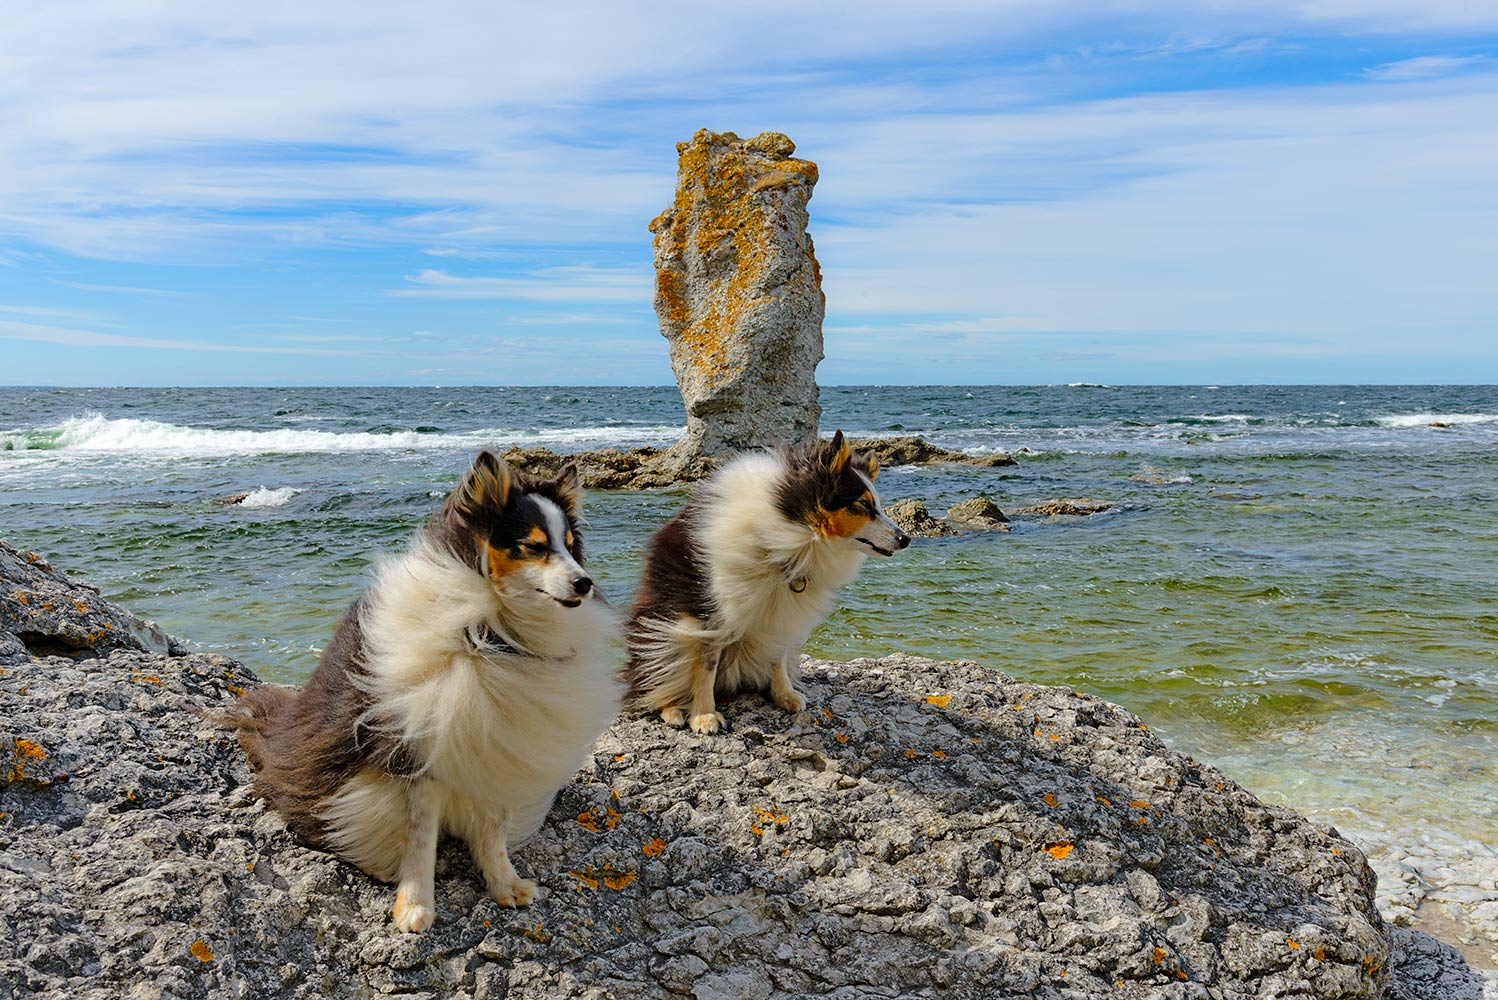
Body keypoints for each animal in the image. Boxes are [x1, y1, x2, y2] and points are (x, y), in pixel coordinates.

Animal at [223, 449, 620, 934]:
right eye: (534, 546)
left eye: (569, 543)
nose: (585, 583)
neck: (492, 631)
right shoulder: (417, 757)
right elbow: (419, 839)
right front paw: (414, 908)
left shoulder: (497, 746)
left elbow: (493, 831)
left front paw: (506, 886)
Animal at [623, 431, 904, 733]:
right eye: (862, 504)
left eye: (879, 503)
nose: (906, 539)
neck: (791, 533)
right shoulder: (710, 617)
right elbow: (705, 668)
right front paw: (704, 716)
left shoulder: (783, 614)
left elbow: (777, 657)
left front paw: (784, 695)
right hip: (662, 633)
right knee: (653, 682)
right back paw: (673, 709)